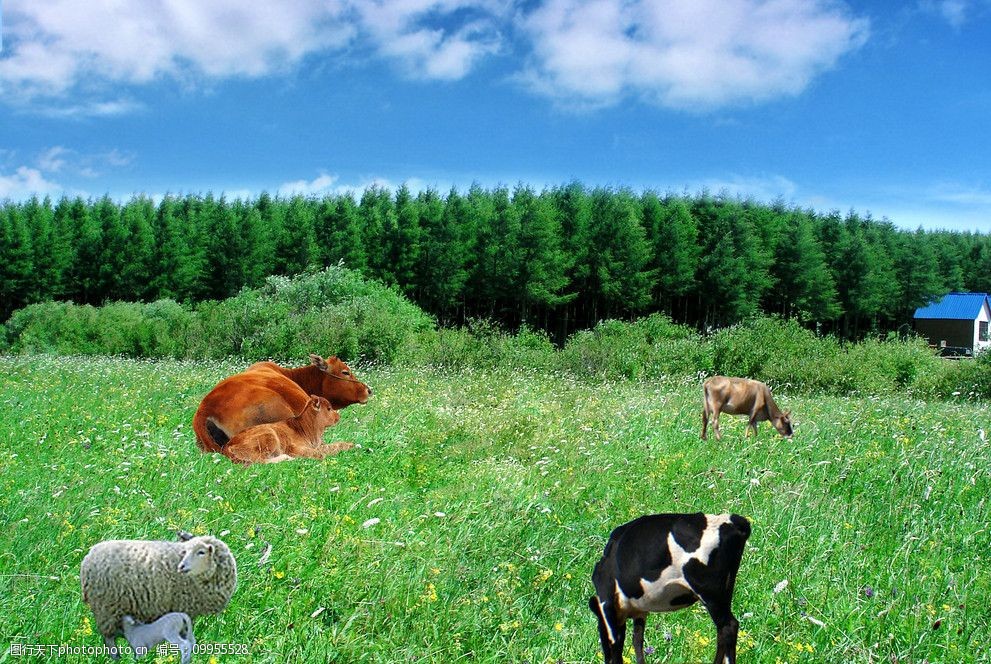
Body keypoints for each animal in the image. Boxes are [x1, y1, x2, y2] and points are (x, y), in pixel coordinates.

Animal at [80, 536, 237, 660]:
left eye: (201, 552)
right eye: (185, 551)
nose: (181, 566)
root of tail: (88, 558)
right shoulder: (184, 607)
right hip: (106, 607)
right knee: (109, 640)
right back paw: (117, 658)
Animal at [221, 396, 352, 464]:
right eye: (329, 408)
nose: (338, 416)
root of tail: (228, 445)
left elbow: (334, 445)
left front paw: (351, 445)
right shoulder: (295, 447)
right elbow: (320, 454)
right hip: (269, 436)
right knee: (259, 460)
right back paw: (286, 458)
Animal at [588, 512, 752, 664]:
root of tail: (734, 520)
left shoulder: (608, 605)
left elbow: (617, 644)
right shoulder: (639, 611)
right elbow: (637, 642)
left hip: (709, 592)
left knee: (728, 627)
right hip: (725, 590)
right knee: (723, 632)